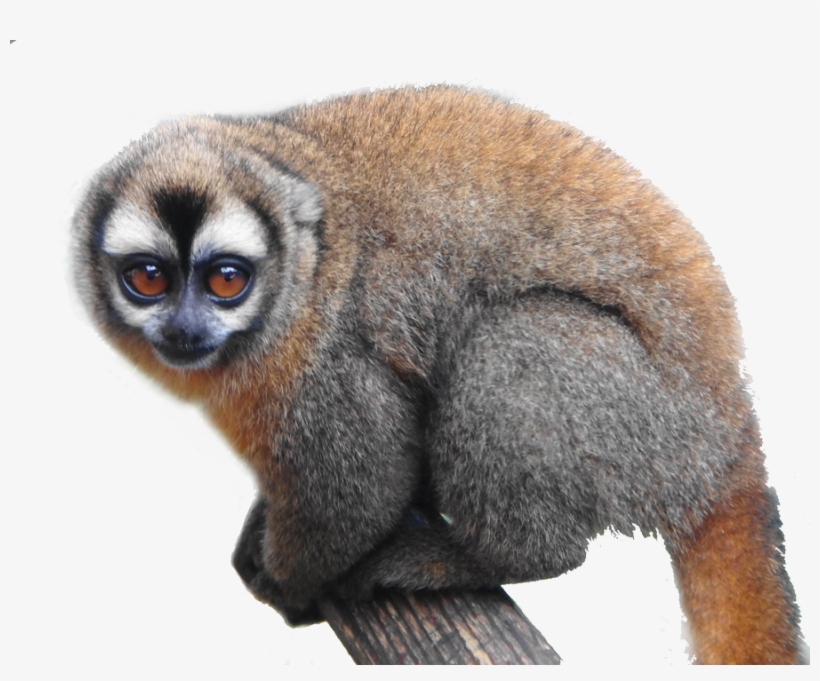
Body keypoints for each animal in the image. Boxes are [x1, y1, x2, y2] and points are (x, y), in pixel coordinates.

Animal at [72, 86, 805, 664]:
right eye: (148, 278)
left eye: (227, 280)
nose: (185, 329)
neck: (302, 281)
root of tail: (728, 442)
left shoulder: (326, 358)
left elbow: (362, 481)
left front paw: (291, 586)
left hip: (649, 427)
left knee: (518, 337)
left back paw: (497, 558)